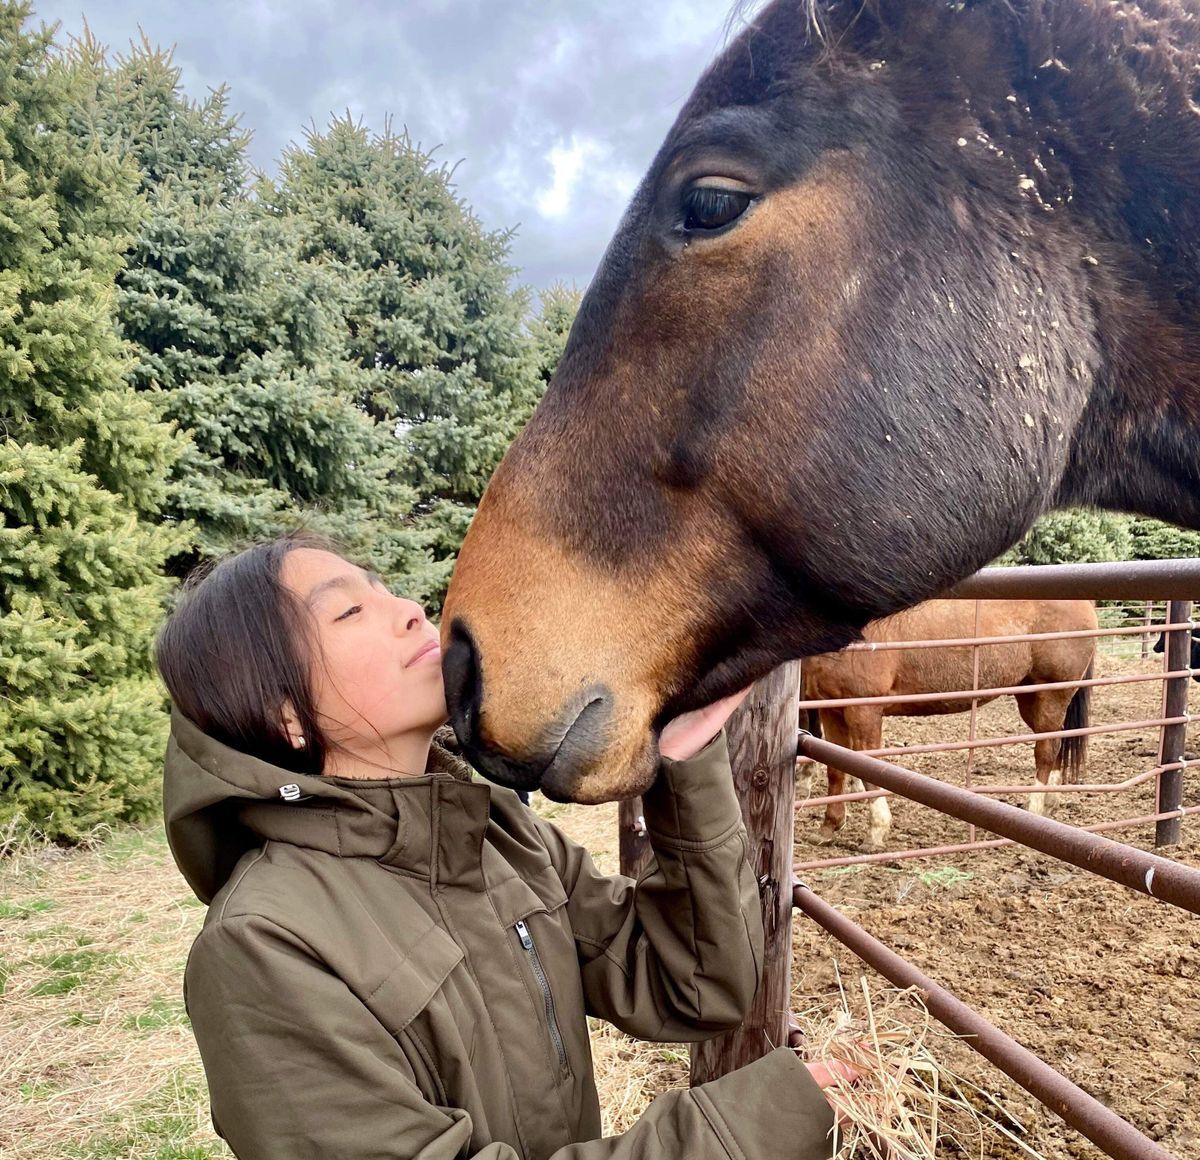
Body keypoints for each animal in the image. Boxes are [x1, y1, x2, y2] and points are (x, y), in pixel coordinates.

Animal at [801, 602, 1094, 849]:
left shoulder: (864, 711)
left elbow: (868, 767)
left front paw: (875, 833)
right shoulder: (830, 710)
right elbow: (836, 769)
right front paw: (828, 827)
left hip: (1051, 695)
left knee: (1045, 751)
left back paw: (1034, 808)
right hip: (1031, 697)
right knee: (1055, 744)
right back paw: (1049, 805)